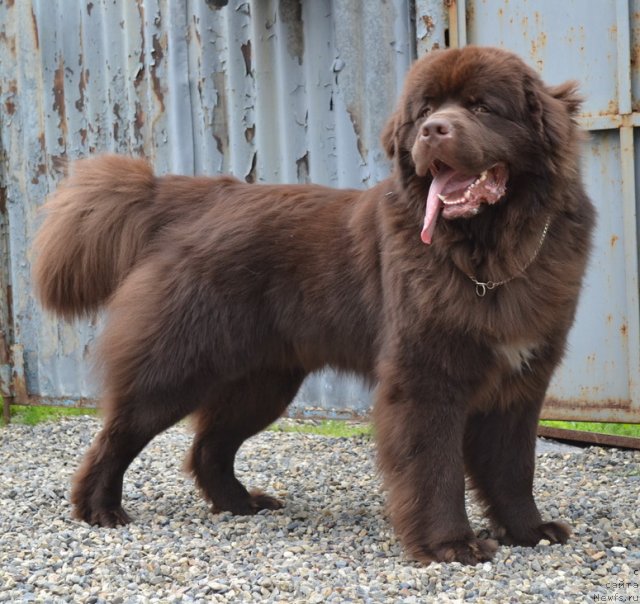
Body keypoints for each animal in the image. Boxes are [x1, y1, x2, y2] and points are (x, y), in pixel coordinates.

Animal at [33, 44, 596, 564]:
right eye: (425, 110)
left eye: (482, 107)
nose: (433, 131)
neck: (488, 256)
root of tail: (192, 197)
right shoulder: (425, 378)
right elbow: (435, 466)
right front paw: (450, 544)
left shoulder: (521, 382)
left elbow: (514, 466)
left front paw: (529, 530)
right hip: (179, 364)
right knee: (121, 431)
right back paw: (101, 508)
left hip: (263, 380)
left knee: (209, 445)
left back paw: (239, 503)